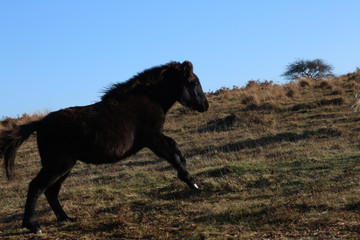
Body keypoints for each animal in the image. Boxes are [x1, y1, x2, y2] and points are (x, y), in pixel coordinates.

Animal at [0, 61, 208, 233]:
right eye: (192, 82)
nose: (205, 105)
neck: (146, 99)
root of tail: (40, 123)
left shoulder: (155, 138)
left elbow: (176, 150)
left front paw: (191, 179)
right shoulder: (152, 138)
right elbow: (173, 154)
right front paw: (192, 183)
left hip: (64, 166)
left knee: (51, 191)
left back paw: (66, 218)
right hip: (58, 165)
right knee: (36, 187)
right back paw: (33, 226)